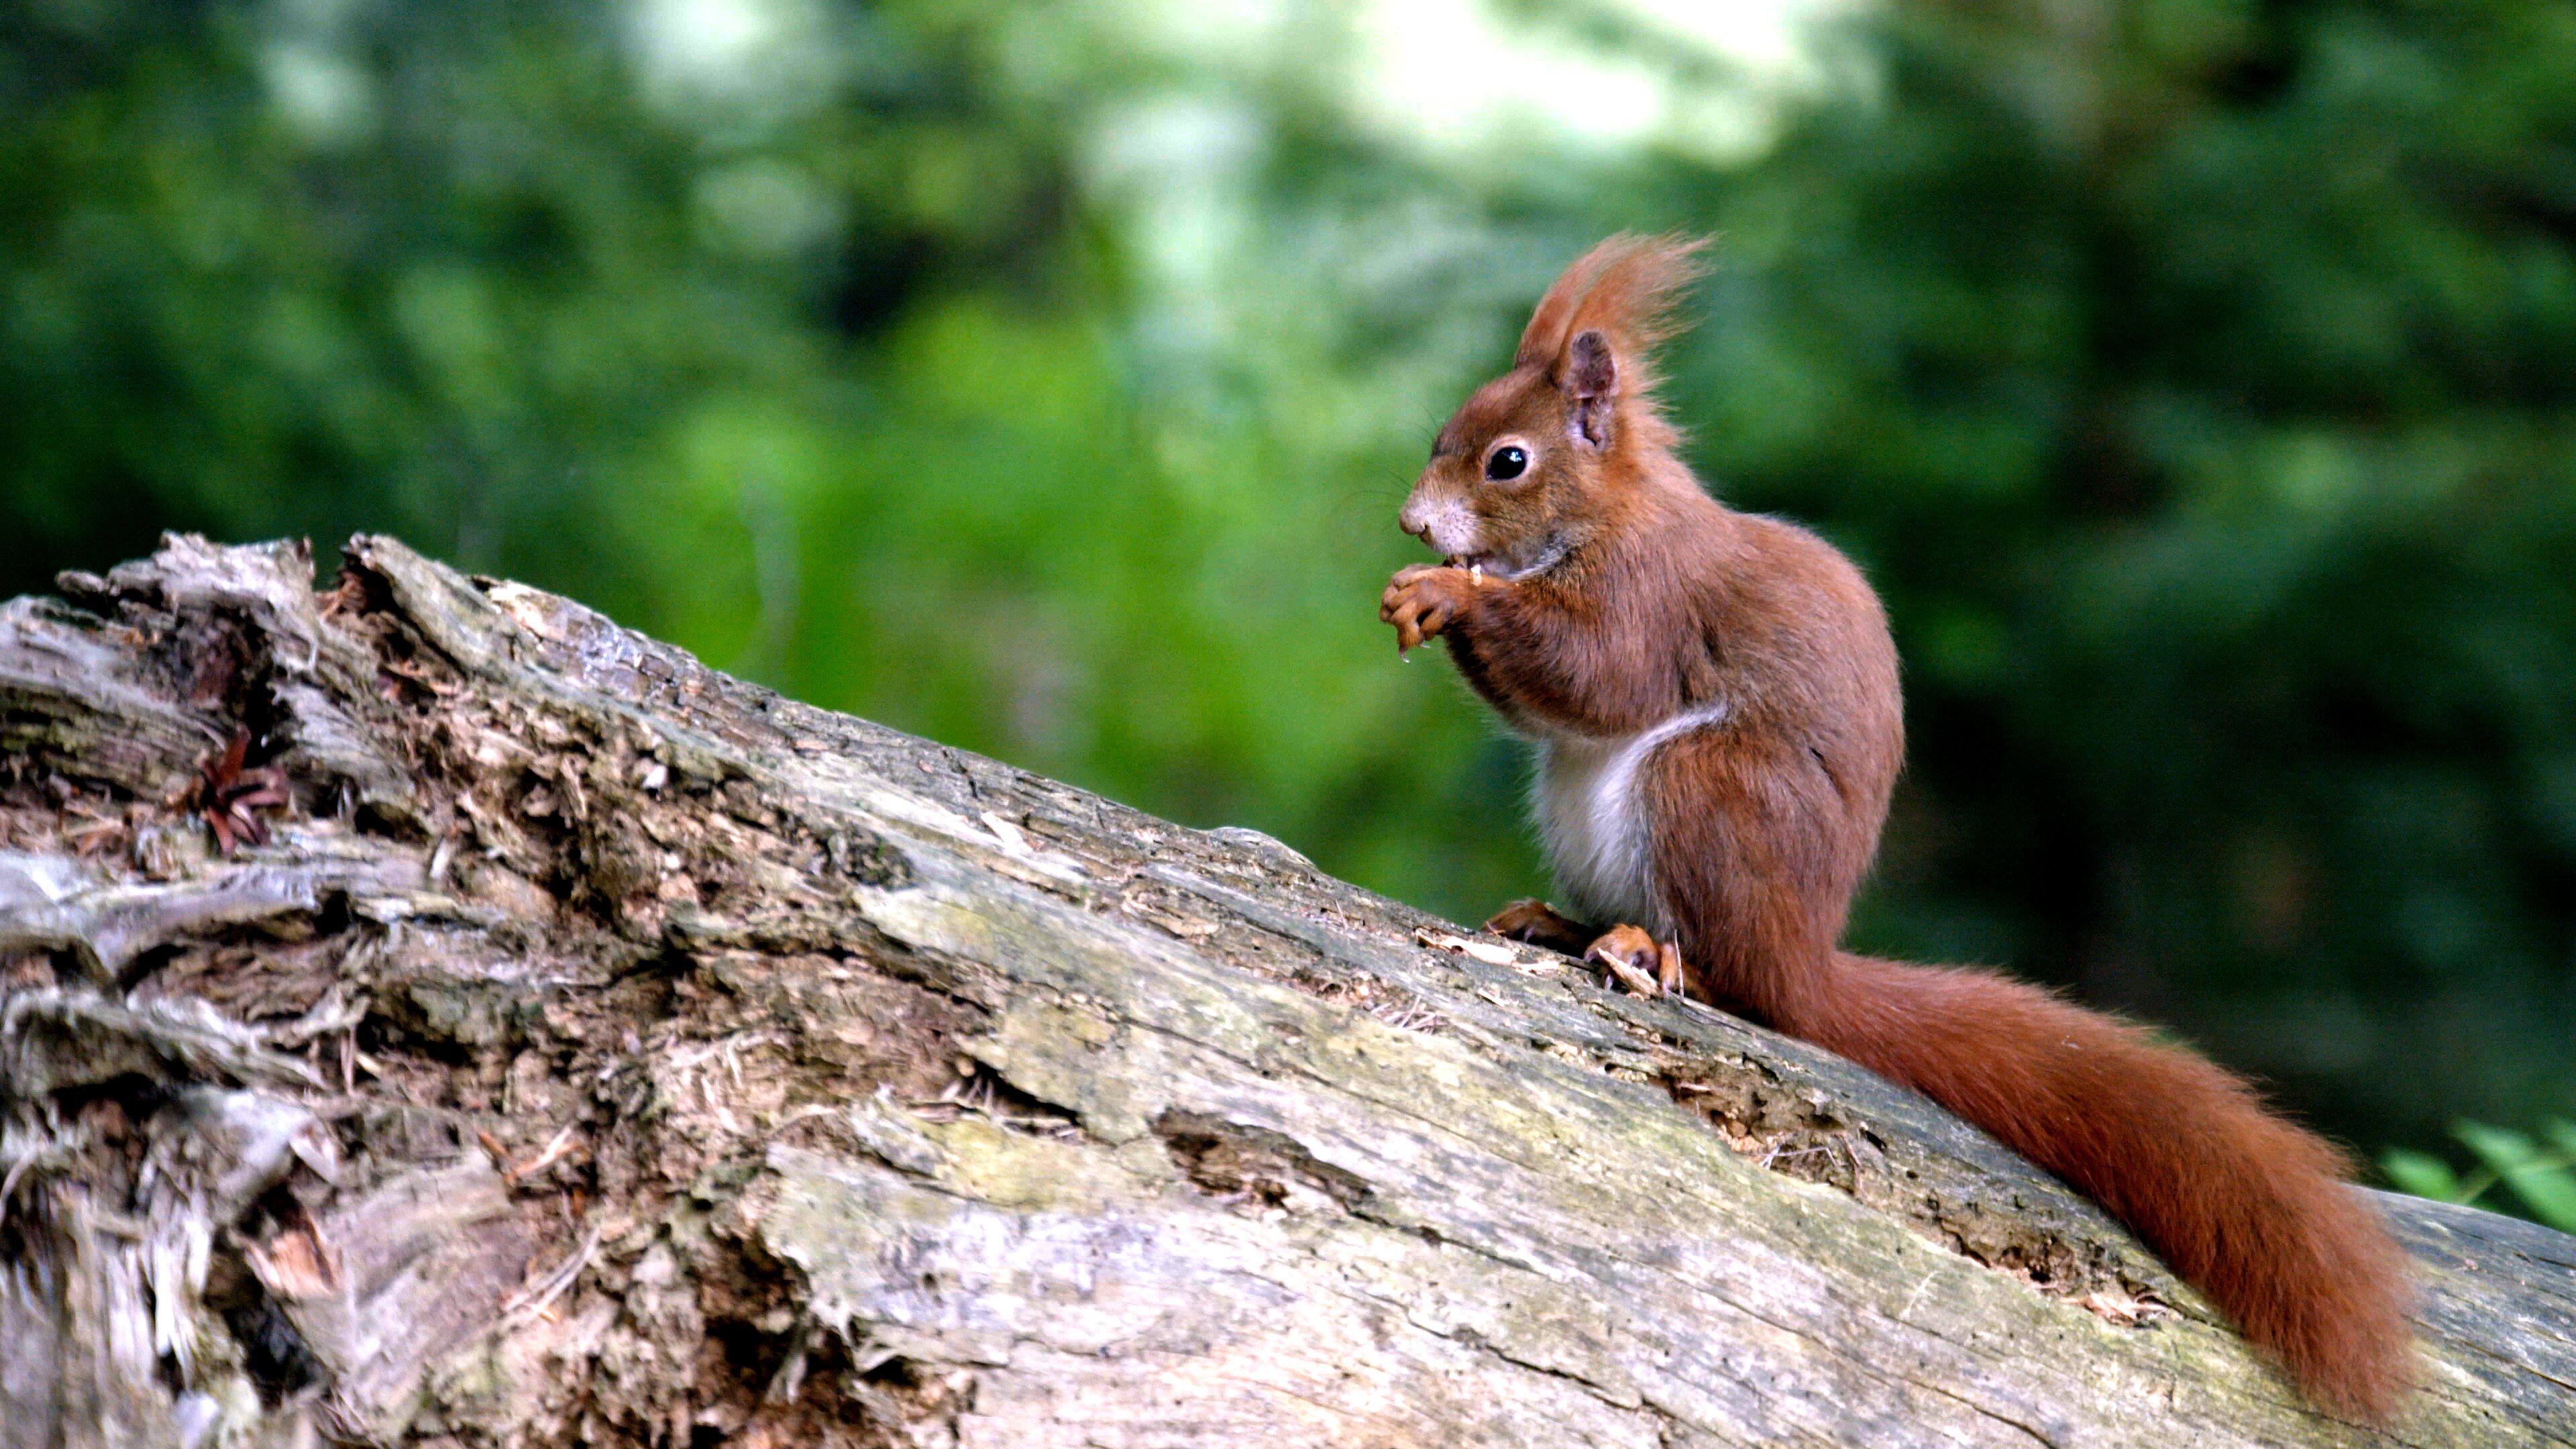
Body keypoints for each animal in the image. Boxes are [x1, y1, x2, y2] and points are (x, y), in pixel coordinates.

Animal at [1380, 233, 2413, 1421]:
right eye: (1444, 433)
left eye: (1507, 462)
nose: (1413, 524)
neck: (1607, 516)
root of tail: (1806, 959)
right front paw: (1423, 586)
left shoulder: (1653, 595)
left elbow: (1599, 675)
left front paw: (1451, 590)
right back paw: (1563, 922)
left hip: (1707, 793)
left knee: (1733, 980)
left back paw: (1653, 950)